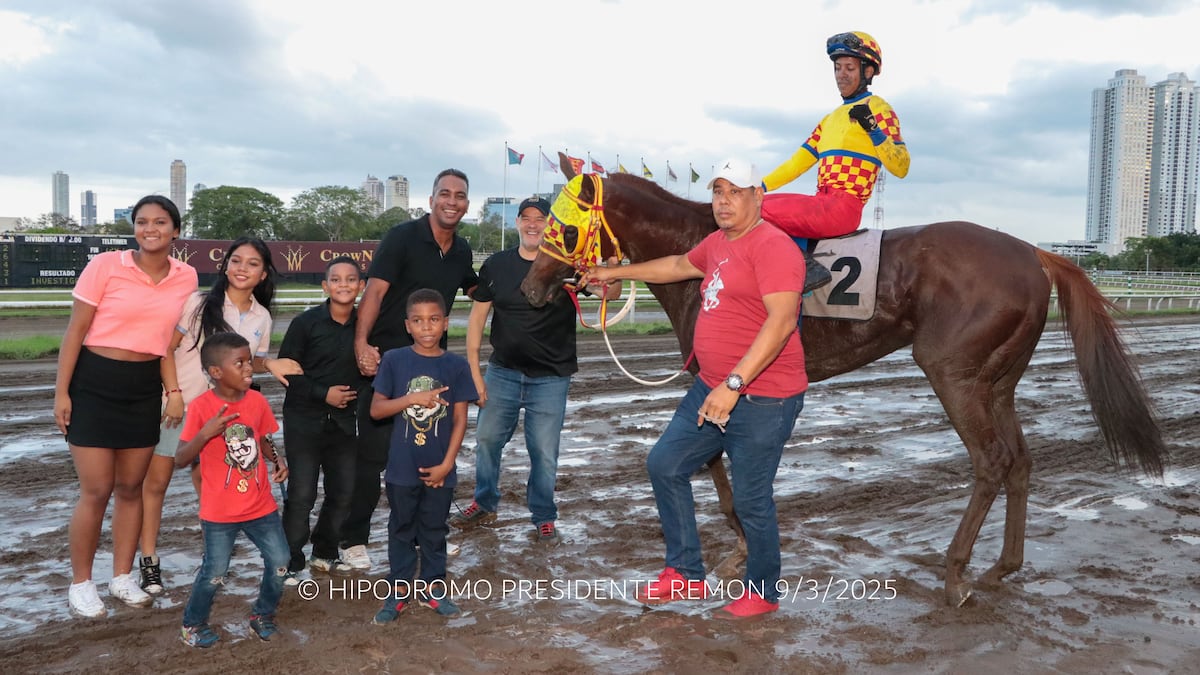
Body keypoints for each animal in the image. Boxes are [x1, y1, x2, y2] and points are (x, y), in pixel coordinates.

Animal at [520, 162, 1166, 605]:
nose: (530, 286)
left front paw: (738, 549)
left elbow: (718, 462)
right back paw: (1001, 567)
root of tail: (1036, 253)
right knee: (1022, 461)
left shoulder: (718, 378)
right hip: (998, 381)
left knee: (992, 461)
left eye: (563, 225)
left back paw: (956, 572)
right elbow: (718, 460)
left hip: (953, 373)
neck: (704, 252)